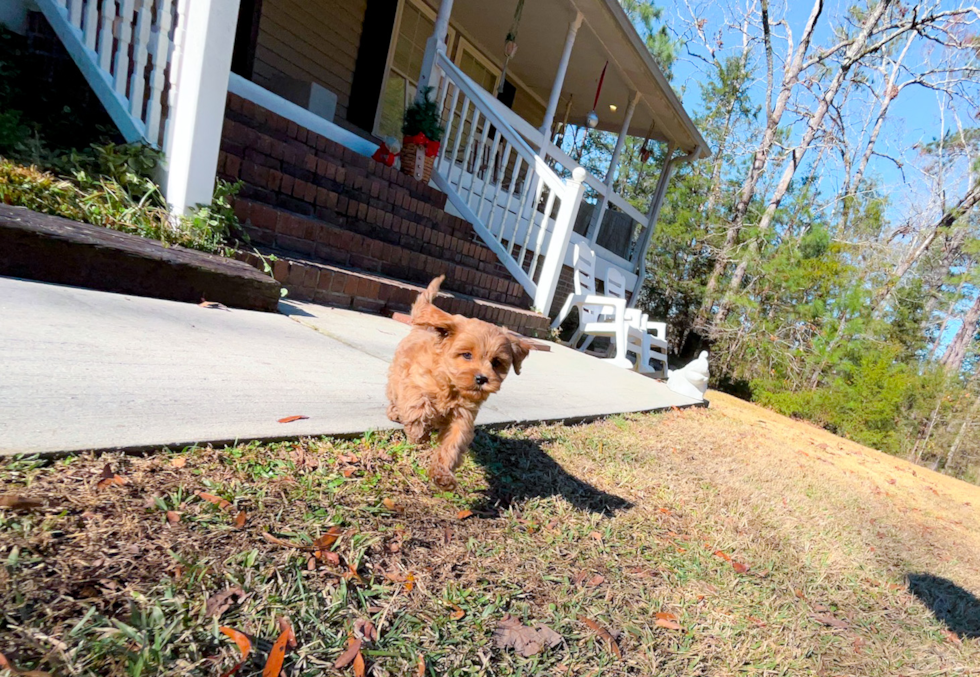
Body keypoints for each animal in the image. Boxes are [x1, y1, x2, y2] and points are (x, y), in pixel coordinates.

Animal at [386, 274, 532, 492]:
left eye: (496, 362)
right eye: (467, 355)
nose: (482, 378)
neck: (451, 385)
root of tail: (422, 327)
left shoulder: (463, 416)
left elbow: (454, 443)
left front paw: (443, 475)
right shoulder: (414, 384)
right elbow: (418, 406)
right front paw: (419, 434)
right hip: (396, 375)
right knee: (395, 396)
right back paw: (395, 413)